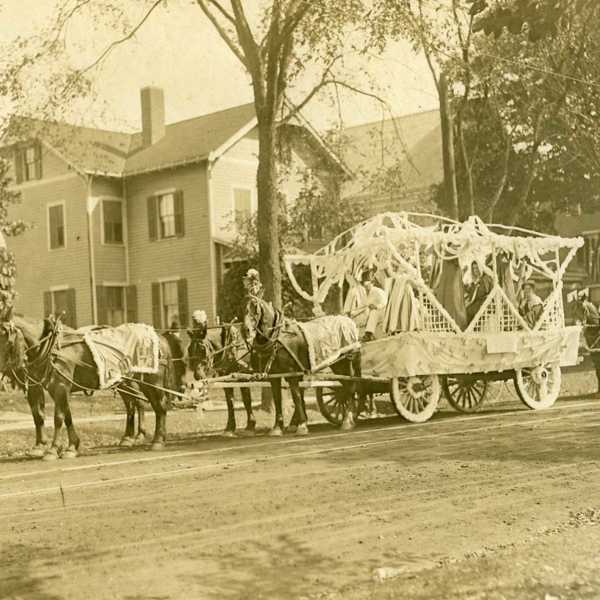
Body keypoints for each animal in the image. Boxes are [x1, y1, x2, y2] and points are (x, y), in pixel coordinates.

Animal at [0, 314, 185, 460]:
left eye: (3, 338)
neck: (51, 347)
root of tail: (158, 336)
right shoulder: (53, 388)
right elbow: (62, 416)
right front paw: (71, 447)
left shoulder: (59, 386)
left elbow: (58, 418)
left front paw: (52, 450)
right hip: (130, 382)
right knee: (140, 405)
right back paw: (136, 437)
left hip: (153, 381)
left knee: (158, 406)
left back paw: (156, 440)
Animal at [240, 296, 360, 436]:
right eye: (243, 310)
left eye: (256, 310)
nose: (245, 330)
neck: (278, 338)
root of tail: (349, 322)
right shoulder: (275, 376)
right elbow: (277, 399)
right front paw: (278, 427)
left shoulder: (292, 373)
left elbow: (296, 397)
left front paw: (302, 425)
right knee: (348, 387)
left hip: (343, 363)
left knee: (350, 387)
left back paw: (347, 420)